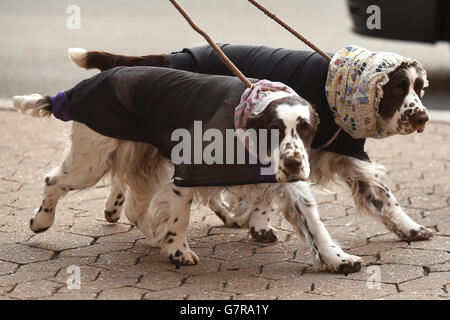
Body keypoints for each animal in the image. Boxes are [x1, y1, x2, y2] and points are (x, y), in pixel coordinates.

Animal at [65, 45, 434, 264]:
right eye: (398, 89)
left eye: (420, 89)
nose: (423, 117)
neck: (334, 89)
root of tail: (169, 57)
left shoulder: (330, 155)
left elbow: (382, 197)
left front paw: (411, 229)